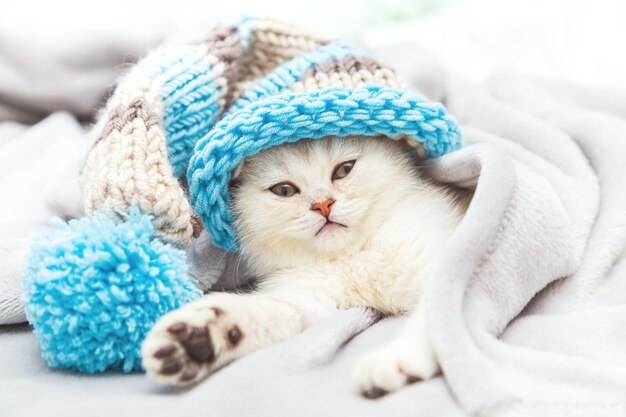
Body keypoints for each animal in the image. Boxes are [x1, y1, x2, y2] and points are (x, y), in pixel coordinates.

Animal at [141, 134, 464, 396]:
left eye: (344, 170)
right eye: (284, 190)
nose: (323, 205)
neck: (350, 255)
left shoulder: (443, 256)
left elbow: (437, 312)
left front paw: (396, 359)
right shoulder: (312, 295)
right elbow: (274, 312)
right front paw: (195, 340)